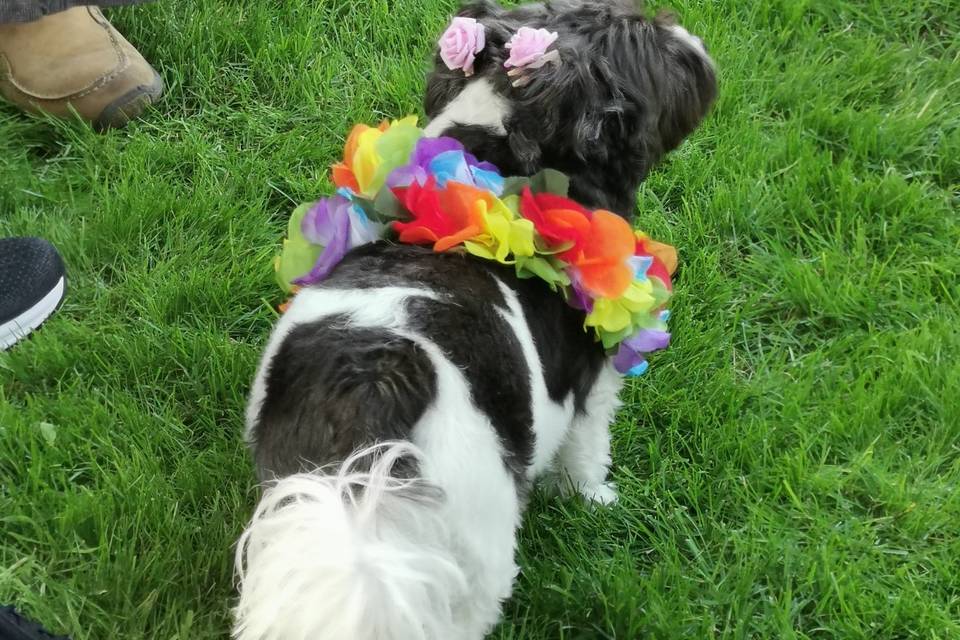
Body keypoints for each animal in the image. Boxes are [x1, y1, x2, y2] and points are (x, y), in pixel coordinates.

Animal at [232, 2, 712, 636]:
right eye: (644, 41)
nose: (694, 42)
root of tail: (373, 395)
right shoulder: (593, 381)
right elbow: (586, 450)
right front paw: (593, 496)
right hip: (474, 543)